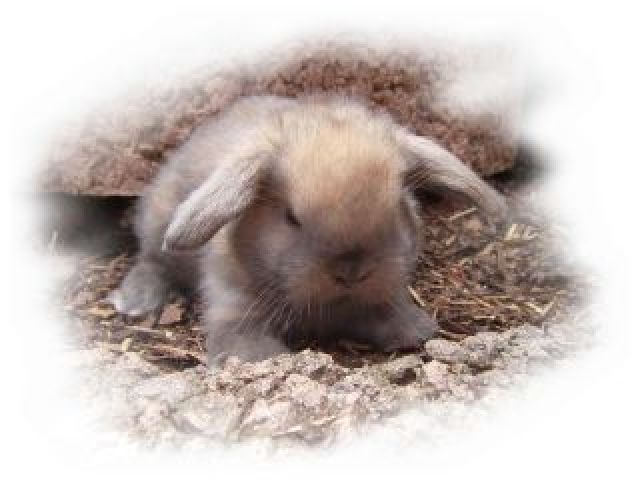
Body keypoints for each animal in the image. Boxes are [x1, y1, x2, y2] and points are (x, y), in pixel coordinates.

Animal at [109, 94, 507, 362]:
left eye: (397, 207)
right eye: (291, 217)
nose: (351, 271)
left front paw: (414, 331)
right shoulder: (233, 307)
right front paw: (264, 358)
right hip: (159, 227)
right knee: (151, 261)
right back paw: (136, 304)